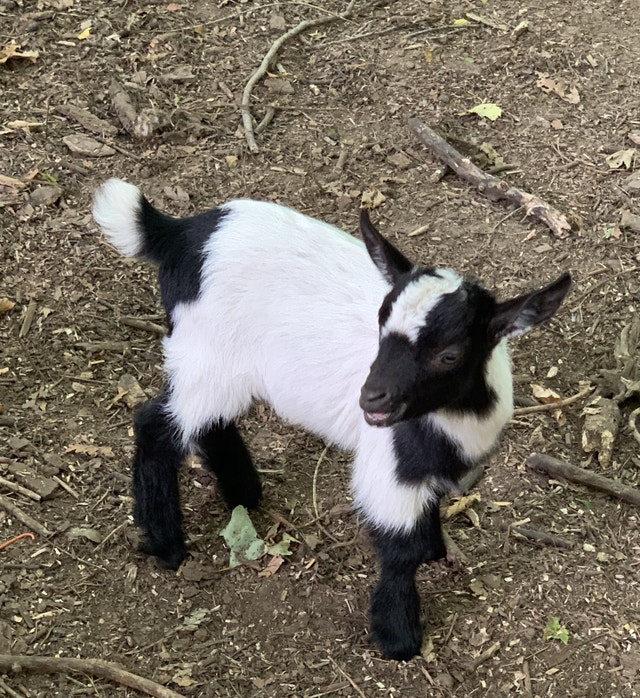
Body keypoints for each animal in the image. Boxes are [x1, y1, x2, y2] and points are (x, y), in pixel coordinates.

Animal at [92, 178, 571, 660]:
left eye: (449, 354)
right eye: (381, 325)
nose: (370, 397)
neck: (458, 415)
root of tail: (178, 233)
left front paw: (436, 551)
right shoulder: (389, 462)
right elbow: (403, 547)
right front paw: (398, 637)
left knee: (209, 421)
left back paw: (243, 493)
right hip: (206, 353)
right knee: (156, 425)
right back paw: (166, 543)